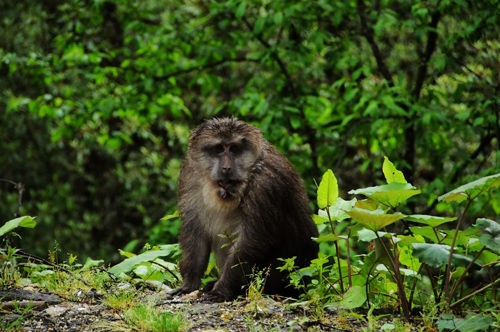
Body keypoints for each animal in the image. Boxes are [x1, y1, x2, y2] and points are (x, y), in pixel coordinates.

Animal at [169, 118, 316, 302]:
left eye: (234, 149)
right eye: (219, 149)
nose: (226, 168)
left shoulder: (265, 185)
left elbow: (252, 240)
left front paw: (222, 290)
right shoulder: (190, 175)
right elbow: (195, 231)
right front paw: (189, 284)